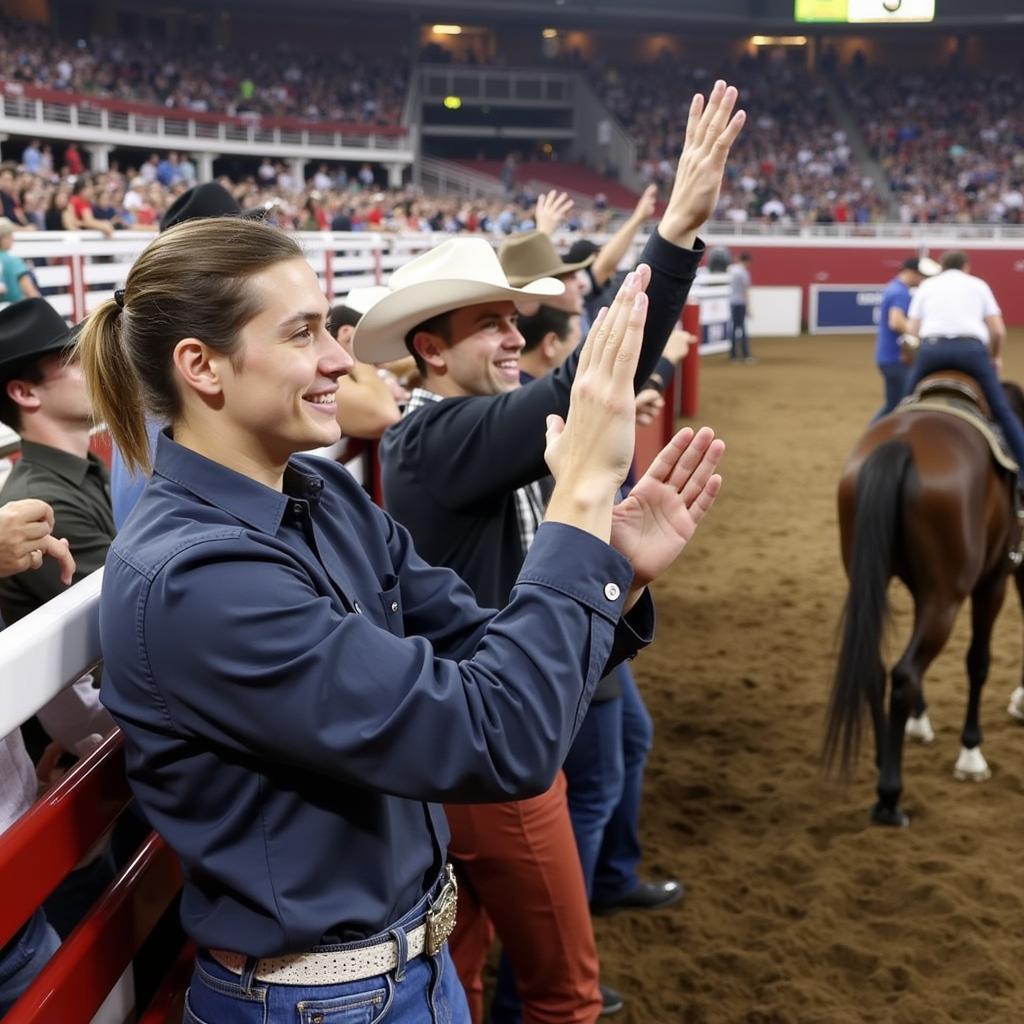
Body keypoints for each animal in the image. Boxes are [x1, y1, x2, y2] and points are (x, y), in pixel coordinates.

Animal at [823, 372, 1024, 827]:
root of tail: (902, 443)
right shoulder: (993, 582)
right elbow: (978, 662)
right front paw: (971, 752)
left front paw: (919, 722)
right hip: (947, 600)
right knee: (905, 674)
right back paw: (889, 797)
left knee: (877, 668)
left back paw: (885, 761)